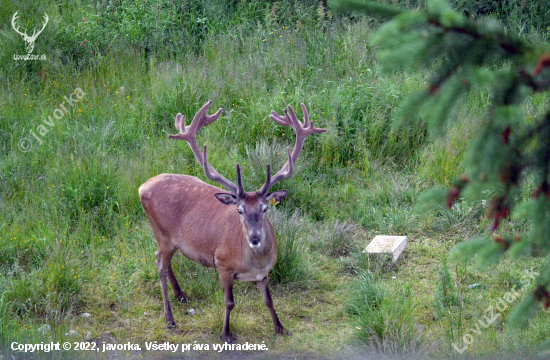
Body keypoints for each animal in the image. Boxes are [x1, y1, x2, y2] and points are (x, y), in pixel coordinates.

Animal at [139, 100, 328, 342]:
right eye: (239, 210)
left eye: (265, 208)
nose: (255, 238)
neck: (252, 261)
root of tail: (142, 187)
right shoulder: (223, 263)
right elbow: (229, 302)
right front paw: (225, 333)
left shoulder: (264, 272)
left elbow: (269, 300)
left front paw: (280, 328)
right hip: (162, 233)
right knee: (160, 265)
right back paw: (170, 319)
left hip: (169, 240)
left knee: (161, 259)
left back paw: (181, 295)